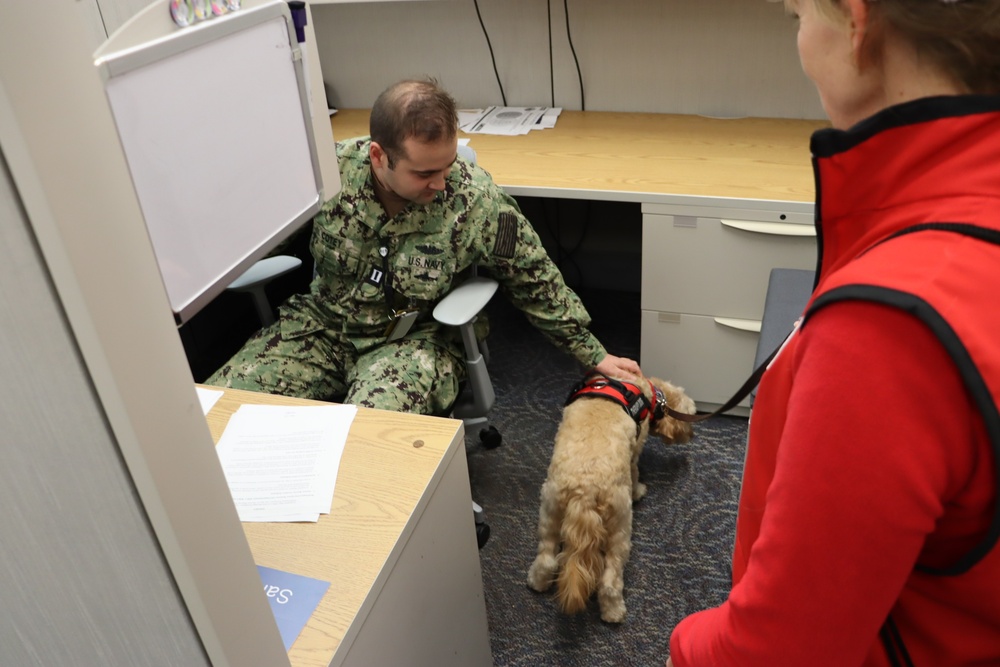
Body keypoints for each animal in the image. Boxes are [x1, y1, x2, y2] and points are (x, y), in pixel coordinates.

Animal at [524, 374, 696, 624]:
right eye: (691, 415)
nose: (692, 434)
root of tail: (584, 491)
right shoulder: (635, 452)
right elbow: (635, 472)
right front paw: (639, 491)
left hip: (549, 511)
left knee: (546, 559)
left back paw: (537, 582)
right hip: (619, 528)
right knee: (609, 581)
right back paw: (614, 612)